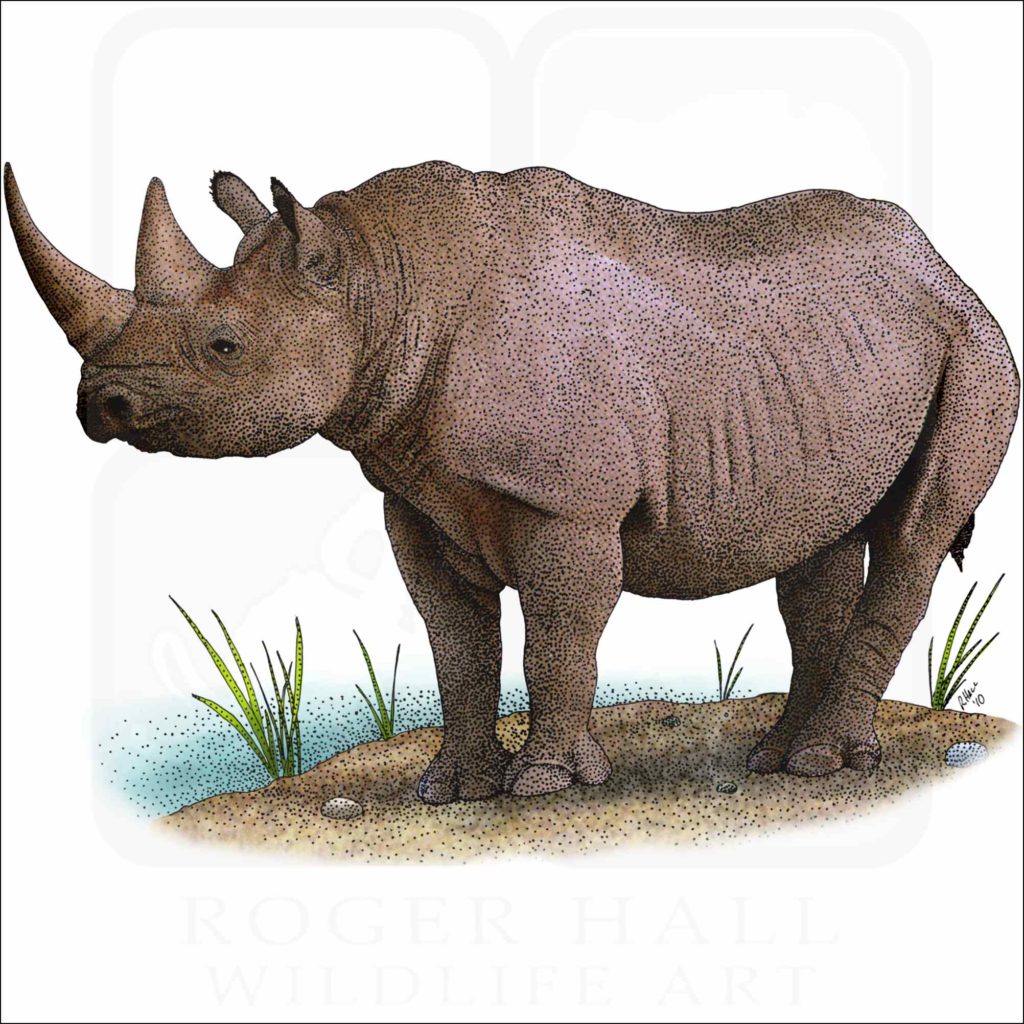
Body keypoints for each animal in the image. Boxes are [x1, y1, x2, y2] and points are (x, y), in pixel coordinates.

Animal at [4, 160, 1018, 802]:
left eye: (223, 348)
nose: (101, 404)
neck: (378, 286)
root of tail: (940, 262)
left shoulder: (567, 502)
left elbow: (558, 634)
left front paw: (545, 785)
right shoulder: (414, 491)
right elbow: (455, 639)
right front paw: (450, 791)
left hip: (975, 346)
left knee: (917, 534)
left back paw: (822, 766)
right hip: (834, 362)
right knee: (819, 539)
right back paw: (777, 759)